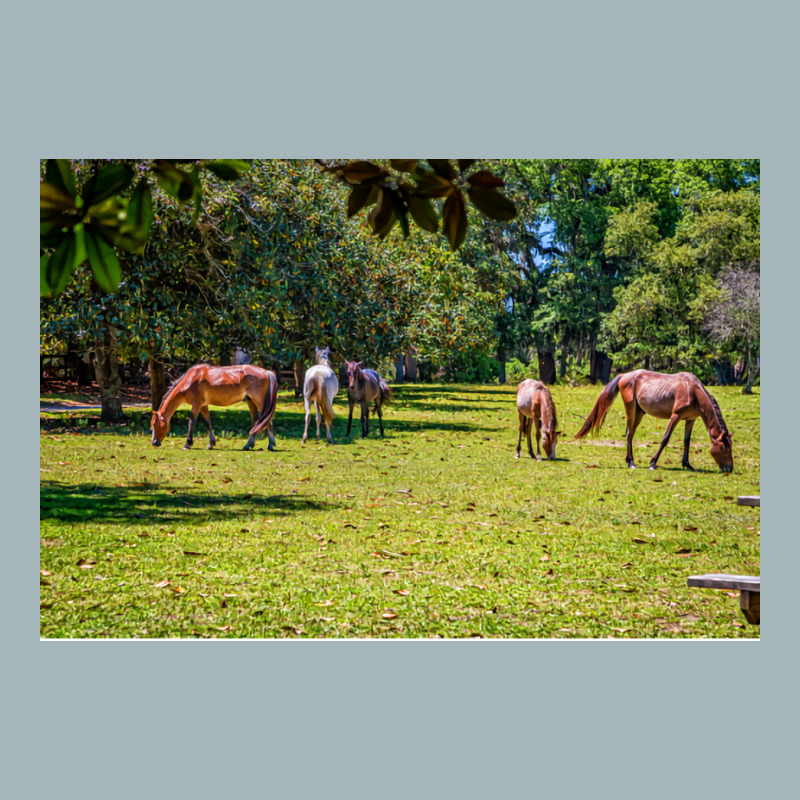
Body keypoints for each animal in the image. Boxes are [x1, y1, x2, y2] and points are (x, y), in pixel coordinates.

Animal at [152, 364, 280, 450]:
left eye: (154, 424)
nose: (154, 442)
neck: (191, 379)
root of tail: (266, 372)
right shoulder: (203, 406)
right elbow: (208, 423)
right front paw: (211, 444)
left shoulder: (196, 404)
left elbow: (191, 422)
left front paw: (188, 444)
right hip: (250, 401)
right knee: (257, 421)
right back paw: (248, 445)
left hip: (259, 401)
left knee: (267, 420)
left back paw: (270, 445)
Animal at [572, 372, 736, 472]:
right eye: (724, 448)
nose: (729, 469)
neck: (692, 390)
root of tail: (625, 375)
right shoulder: (675, 416)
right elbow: (665, 439)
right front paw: (652, 463)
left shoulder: (690, 419)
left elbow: (686, 442)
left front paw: (687, 464)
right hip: (631, 409)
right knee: (629, 433)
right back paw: (631, 463)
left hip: (639, 413)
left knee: (630, 433)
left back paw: (629, 460)